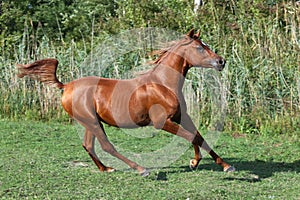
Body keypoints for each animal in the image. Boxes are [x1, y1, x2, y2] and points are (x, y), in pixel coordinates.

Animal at [17, 28, 236, 176]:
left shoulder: (181, 116)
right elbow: (192, 137)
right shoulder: (161, 122)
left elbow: (199, 136)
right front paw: (195, 162)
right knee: (106, 146)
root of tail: (67, 86)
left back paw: (106, 169)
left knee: (89, 145)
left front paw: (220, 165)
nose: (221, 61)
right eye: (199, 48)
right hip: (92, 121)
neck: (163, 84)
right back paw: (140, 169)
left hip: (90, 122)